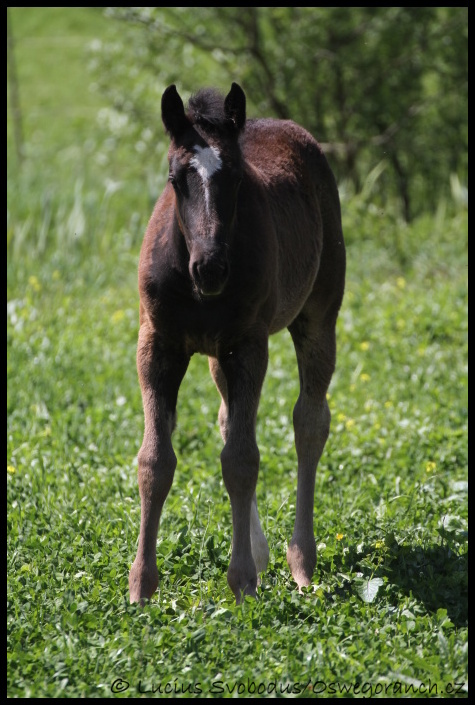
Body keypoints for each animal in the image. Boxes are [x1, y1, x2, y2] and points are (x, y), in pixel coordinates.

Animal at [130, 81, 346, 600]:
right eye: (175, 178)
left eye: (237, 181)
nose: (210, 269)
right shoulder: (158, 344)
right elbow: (155, 460)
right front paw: (141, 586)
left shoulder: (248, 346)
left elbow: (243, 460)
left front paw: (243, 580)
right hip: (215, 355)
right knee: (230, 419)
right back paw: (266, 552)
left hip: (317, 316)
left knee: (310, 422)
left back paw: (301, 561)